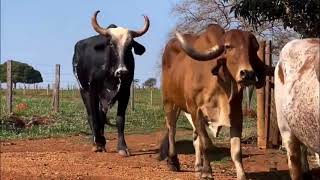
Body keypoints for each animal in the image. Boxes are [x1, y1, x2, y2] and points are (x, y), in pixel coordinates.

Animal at [72, 10, 150, 155]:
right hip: (83, 89)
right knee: (91, 115)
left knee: (102, 115)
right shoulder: (92, 91)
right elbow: (94, 117)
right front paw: (97, 143)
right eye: (111, 44)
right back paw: (97, 142)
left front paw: (122, 147)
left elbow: (120, 119)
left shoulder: (125, 92)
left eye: (130, 46)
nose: (122, 72)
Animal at [159, 24, 270, 180]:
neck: (219, 85)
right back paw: (173, 162)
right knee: (171, 130)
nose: (248, 74)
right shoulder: (196, 112)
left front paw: (241, 175)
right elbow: (206, 143)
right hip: (170, 102)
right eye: (228, 46)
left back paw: (198, 167)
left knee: (195, 138)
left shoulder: (236, 114)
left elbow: (236, 150)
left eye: (253, 49)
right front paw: (207, 172)